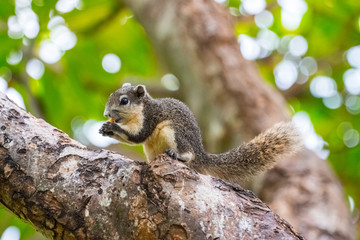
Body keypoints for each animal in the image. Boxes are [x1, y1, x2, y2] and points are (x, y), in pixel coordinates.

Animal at [98, 83, 300, 184]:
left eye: (124, 101)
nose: (106, 114)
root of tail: (201, 153)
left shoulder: (150, 117)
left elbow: (138, 136)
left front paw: (113, 128)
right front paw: (105, 129)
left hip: (174, 131)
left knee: (188, 154)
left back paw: (179, 155)